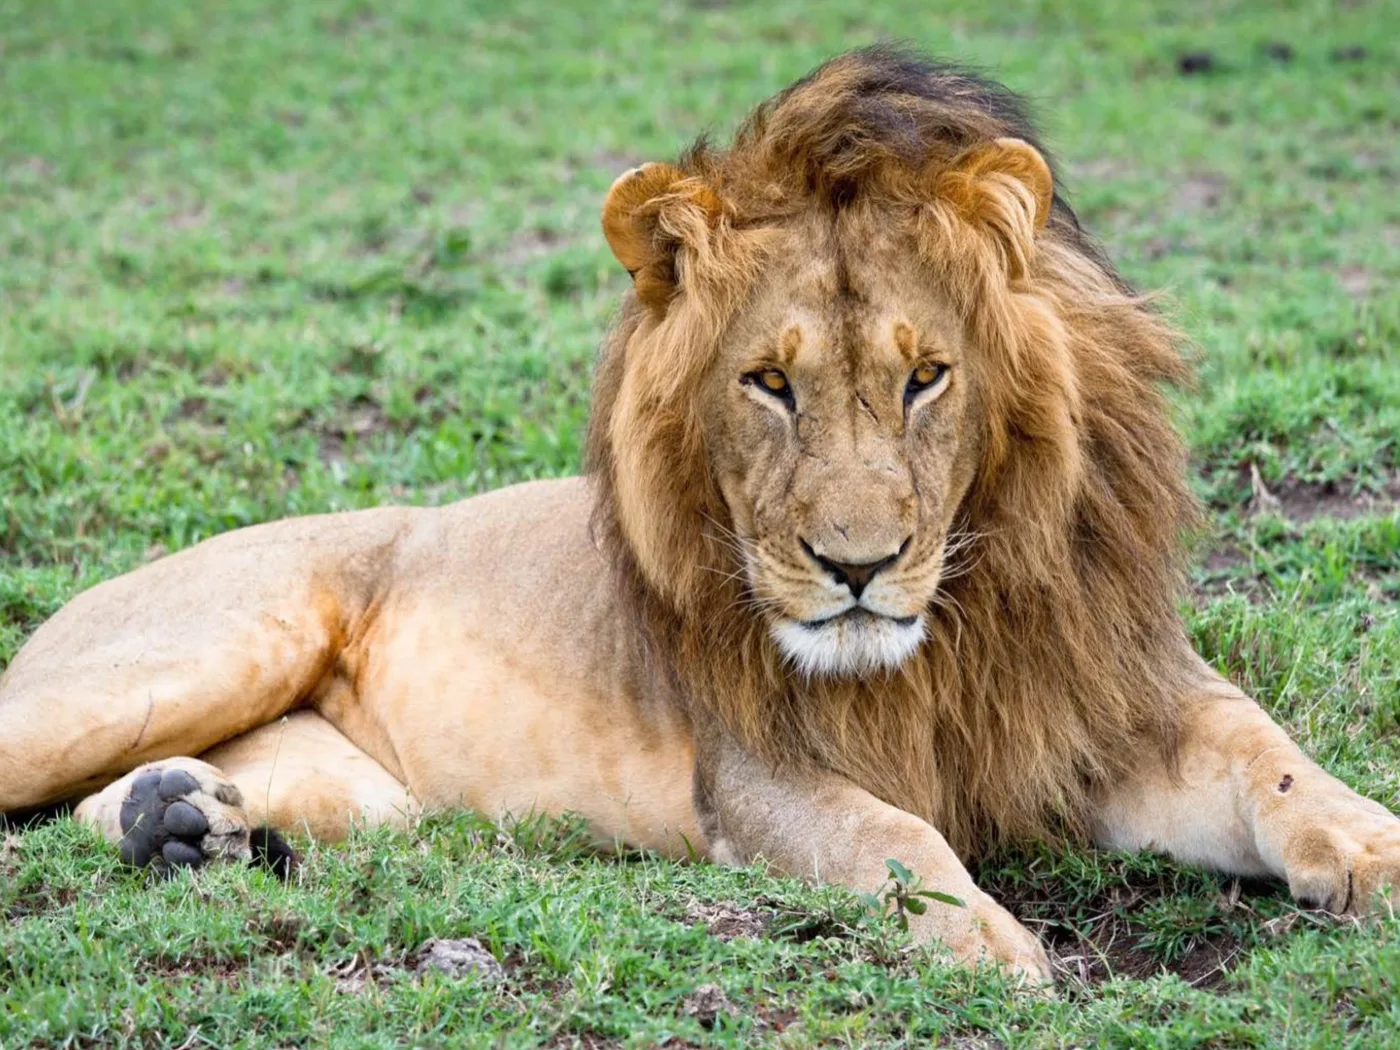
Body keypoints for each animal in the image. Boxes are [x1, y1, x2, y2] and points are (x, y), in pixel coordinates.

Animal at [3, 47, 1398, 984]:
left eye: (925, 376)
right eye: (767, 384)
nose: (856, 568)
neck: (957, 626)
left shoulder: (1114, 696)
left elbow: (1274, 760)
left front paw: (1373, 857)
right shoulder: (758, 772)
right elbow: (893, 845)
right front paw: (1003, 957)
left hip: (370, 797)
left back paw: (182, 824)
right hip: (198, 650)